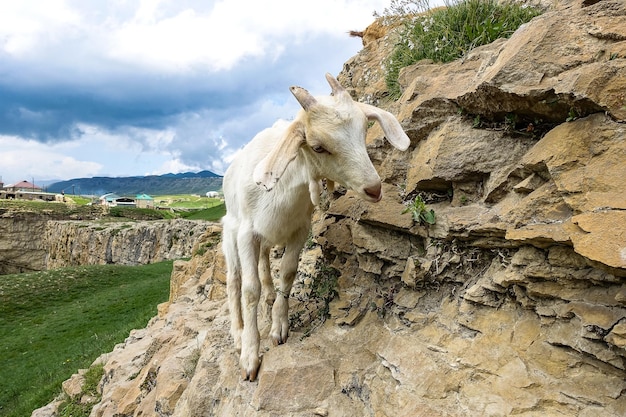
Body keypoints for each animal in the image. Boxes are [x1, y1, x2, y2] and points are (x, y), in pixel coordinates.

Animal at [221, 72, 410, 380]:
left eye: (363, 131)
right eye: (318, 146)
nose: (374, 188)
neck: (284, 189)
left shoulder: (299, 228)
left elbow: (288, 272)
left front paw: (279, 326)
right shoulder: (247, 233)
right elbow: (249, 290)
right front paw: (250, 356)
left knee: (264, 261)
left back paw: (270, 296)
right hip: (231, 234)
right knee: (234, 280)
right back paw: (237, 333)